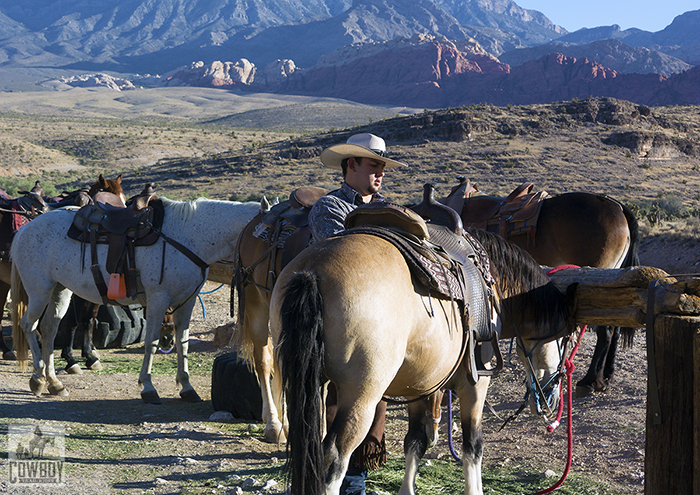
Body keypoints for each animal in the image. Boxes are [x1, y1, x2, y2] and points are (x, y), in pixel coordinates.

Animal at [10, 196, 260, 402]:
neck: (187, 236)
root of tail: (25, 229)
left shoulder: (186, 302)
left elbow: (183, 343)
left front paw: (187, 387)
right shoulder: (158, 300)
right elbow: (151, 343)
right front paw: (148, 388)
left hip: (60, 290)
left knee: (49, 329)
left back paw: (54, 383)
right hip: (39, 291)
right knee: (29, 325)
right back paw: (37, 379)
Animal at [272, 203, 576, 494]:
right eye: (566, 339)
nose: (552, 398)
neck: (493, 285)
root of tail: (312, 270)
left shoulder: (419, 384)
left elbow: (415, 441)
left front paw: (407, 489)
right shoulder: (475, 382)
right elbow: (473, 446)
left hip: (306, 386)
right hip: (361, 395)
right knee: (334, 457)